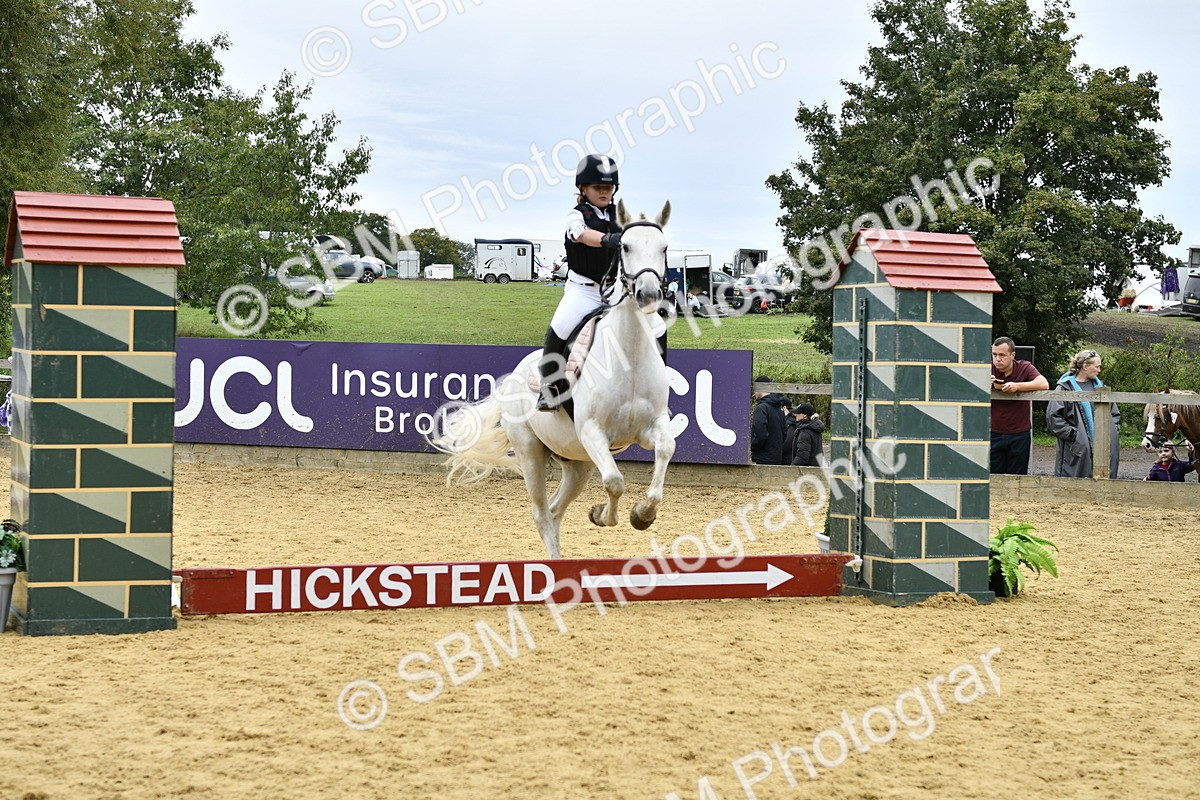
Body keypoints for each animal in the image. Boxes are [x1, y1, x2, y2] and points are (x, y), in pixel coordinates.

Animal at [429, 200, 676, 559]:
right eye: (625, 247)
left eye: (664, 248)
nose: (648, 294)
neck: (628, 353)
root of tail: (511, 379)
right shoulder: (593, 432)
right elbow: (615, 482)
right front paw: (604, 515)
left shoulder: (649, 428)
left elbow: (663, 456)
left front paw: (641, 515)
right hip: (532, 452)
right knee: (543, 514)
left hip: (578, 461)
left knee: (557, 510)